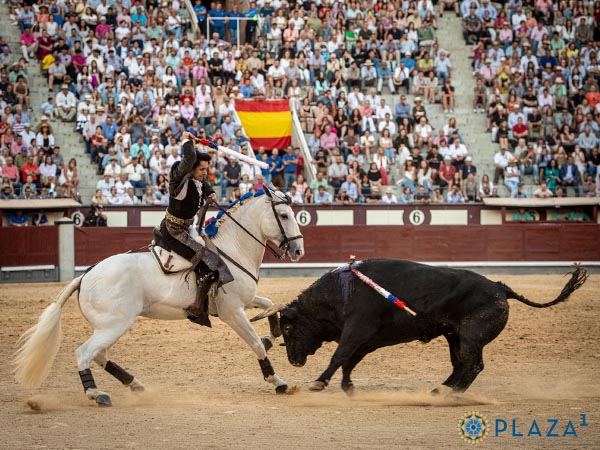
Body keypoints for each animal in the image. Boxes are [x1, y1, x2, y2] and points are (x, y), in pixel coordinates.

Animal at [14, 188, 304, 406]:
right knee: (85, 353)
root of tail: (85, 276)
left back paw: (135, 384)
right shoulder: (232, 311)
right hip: (115, 324)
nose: (299, 250)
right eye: (283, 214)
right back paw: (98, 394)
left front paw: (271, 336)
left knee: (99, 354)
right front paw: (278, 381)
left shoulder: (243, 302)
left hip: (109, 326)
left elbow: (270, 306)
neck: (230, 249)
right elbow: (255, 344)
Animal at [256, 260, 584, 394]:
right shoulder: (367, 339)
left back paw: (450, 393)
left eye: (288, 329)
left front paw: (319, 382)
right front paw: (348, 386)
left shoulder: (357, 330)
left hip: (471, 335)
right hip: (454, 336)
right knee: (460, 364)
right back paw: (442, 389)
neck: (340, 292)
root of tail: (499, 287)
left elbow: (340, 356)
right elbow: (349, 361)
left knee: (473, 365)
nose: (293, 361)